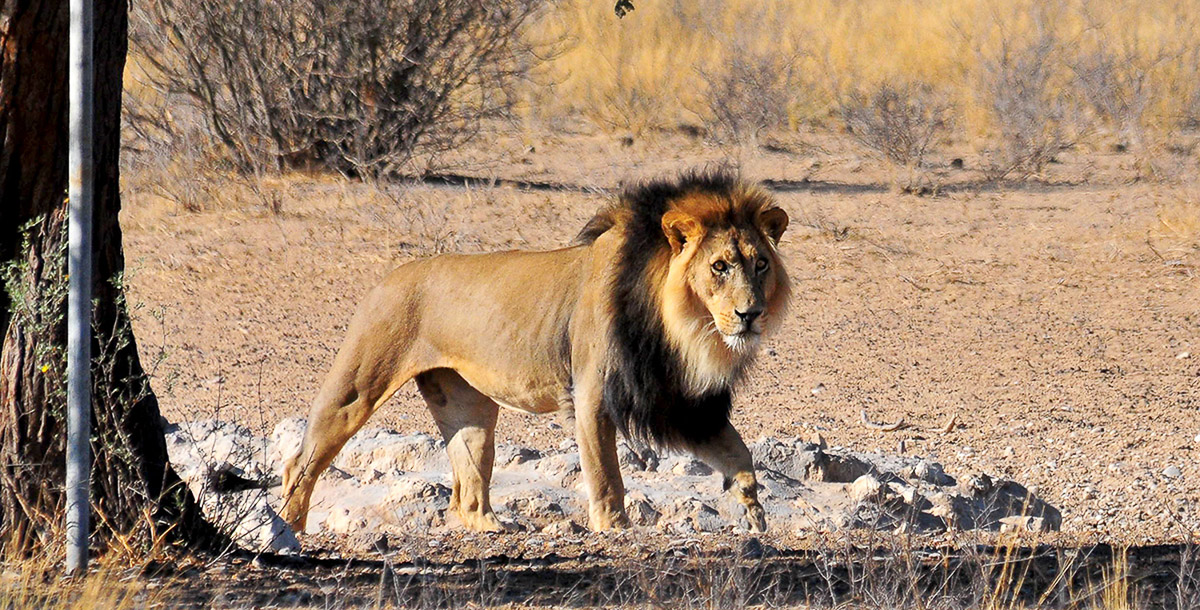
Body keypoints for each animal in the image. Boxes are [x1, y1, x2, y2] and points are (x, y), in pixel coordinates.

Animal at [279, 169, 790, 534]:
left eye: (760, 264)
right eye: (719, 266)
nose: (750, 314)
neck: (684, 329)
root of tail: (389, 276)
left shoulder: (680, 401)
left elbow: (738, 451)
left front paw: (752, 507)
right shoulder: (592, 394)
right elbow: (606, 475)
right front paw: (616, 530)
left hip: (468, 407)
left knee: (467, 491)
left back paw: (495, 528)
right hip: (357, 386)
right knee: (299, 463)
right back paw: (289, 530)